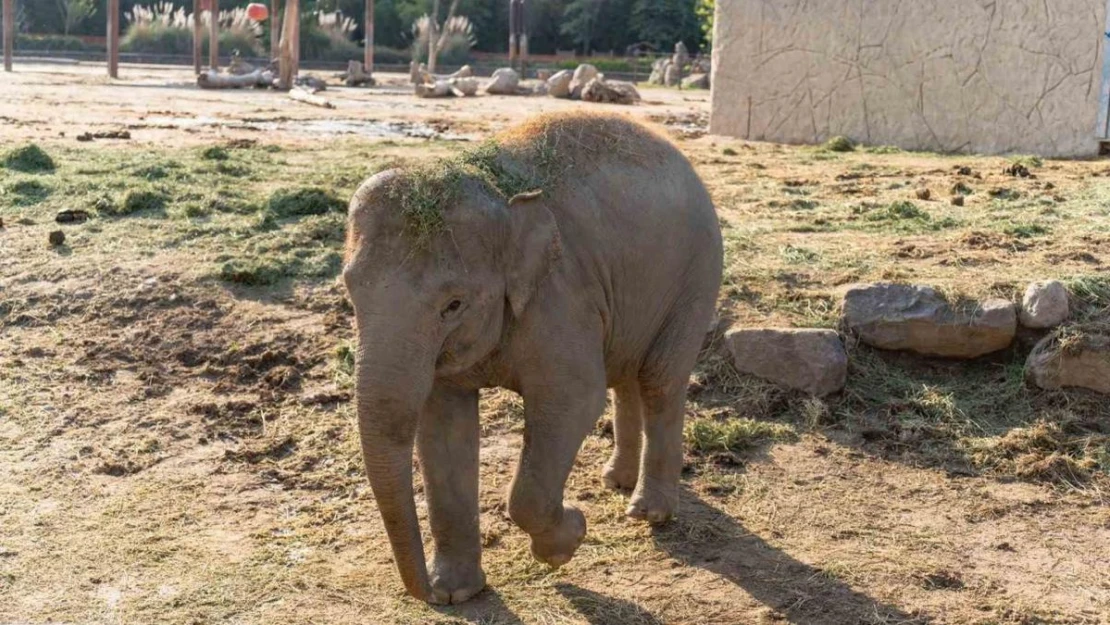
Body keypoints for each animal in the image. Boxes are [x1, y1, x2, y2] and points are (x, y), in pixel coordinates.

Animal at [341, 111, 723, 599]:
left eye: (453, 305)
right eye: (350, 291)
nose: (425, 592)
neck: (500, 196)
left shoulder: (559, 299)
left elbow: (575, 399)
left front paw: (568, 541)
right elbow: (442, 426)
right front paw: (458, 593)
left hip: (697, 275)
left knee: (658, 379)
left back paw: (648, 512)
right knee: (625, 377)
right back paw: (615, 481)